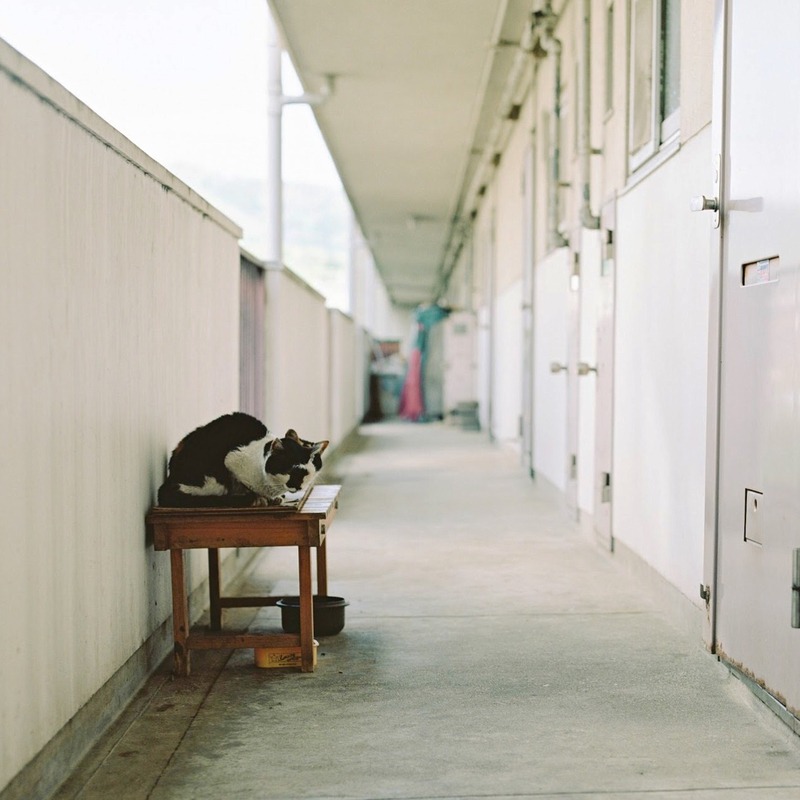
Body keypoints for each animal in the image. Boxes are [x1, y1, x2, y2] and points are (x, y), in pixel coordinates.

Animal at [158, 412, 326, 506]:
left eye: (306, 474)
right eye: (290, 471)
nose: (297, 487)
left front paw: (274, 498)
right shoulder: (232, 461)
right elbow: (245, 485)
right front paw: (258, 498)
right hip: (215, 479)